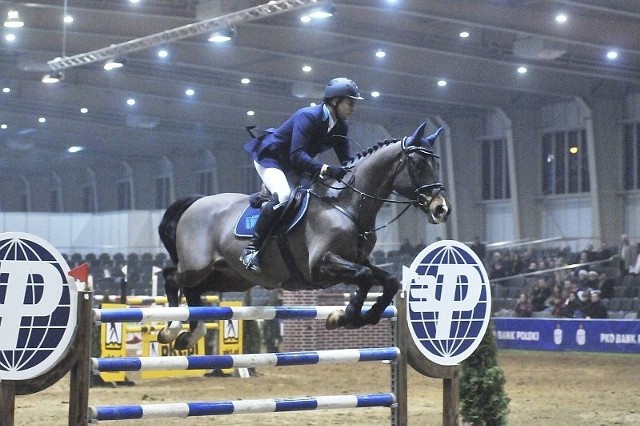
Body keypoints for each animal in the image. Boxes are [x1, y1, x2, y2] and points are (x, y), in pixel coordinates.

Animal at [158, 120, 452, 350]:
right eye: (417, 163)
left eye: (436, 164)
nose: (441, 209)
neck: (345, 204)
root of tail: (195, 202)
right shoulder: (320, 266)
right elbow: (365, 277)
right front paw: (344, 317)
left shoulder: (357, 259)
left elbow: (388, 280)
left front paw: (362, 316)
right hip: (197, 266)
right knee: (172, 278)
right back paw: (171, 328)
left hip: (231, 277)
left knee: (194, 291)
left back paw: (190, 334)